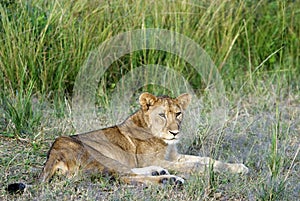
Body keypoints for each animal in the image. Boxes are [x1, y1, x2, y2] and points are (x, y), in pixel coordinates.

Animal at [6, 92, 248, 193]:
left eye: (178, 113)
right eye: (162, 115)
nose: (174, 132)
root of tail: (53, 152)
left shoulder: (173, 156)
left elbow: (207, 159)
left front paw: (238, 167)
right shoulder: (160, 159)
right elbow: (197, 165)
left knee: (129, 172)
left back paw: (160, 173)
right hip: (100, 155)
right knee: (122, 176)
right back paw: (170, 180)